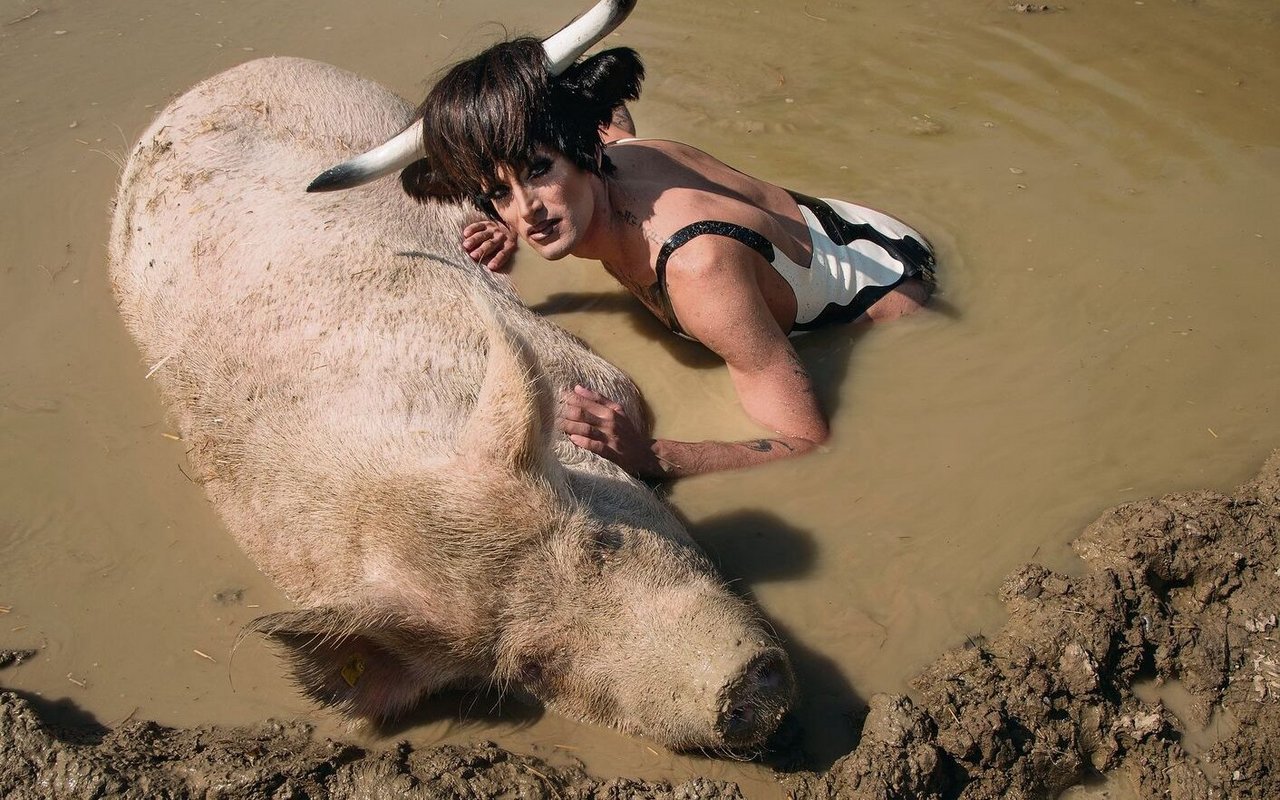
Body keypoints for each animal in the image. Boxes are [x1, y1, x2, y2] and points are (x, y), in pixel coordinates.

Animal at [110, 42, 788, 747]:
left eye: (605, 541)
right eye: (531, 666)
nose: (742, 694)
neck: (385, 473)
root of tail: (203, 85)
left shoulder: (595, 374)